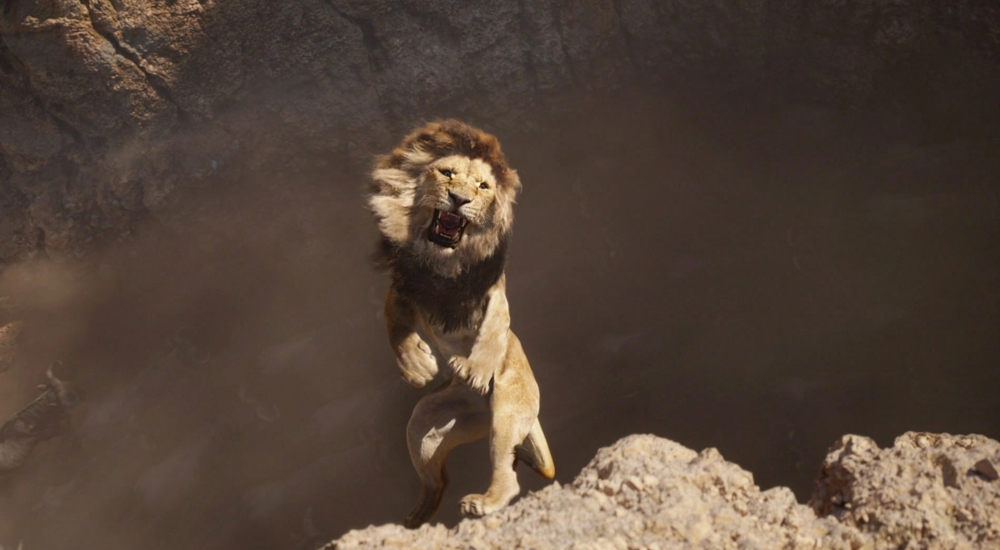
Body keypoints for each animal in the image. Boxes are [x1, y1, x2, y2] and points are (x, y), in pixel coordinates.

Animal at [367, 119, 555, 527]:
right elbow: (392, 323)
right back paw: (412, 521)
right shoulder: (404, 288)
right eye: (447, 173)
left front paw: (475, 368)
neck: (444, 261)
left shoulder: (494, 293)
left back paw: (483, 502)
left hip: (508, 408)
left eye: (483, 186)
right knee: (437, 482)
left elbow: (494, 330)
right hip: (426, 424)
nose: (458, 200)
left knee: (507, 471)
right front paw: (416, 365)